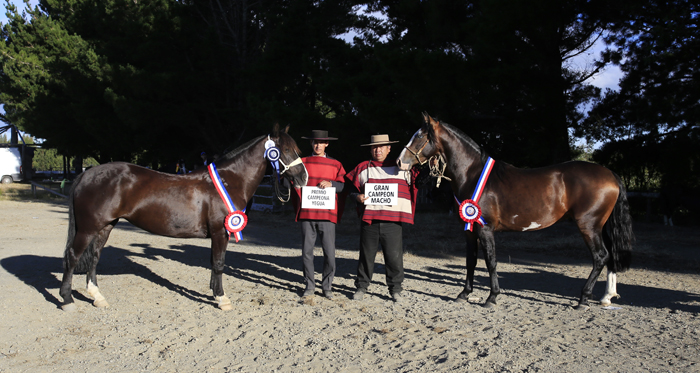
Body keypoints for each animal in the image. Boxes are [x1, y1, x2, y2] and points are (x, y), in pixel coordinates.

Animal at [61, 124, 308, 310]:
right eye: (286, 149)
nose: (303, 178)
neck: (229, 180)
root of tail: (86, 174)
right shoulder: (221, 231)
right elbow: (219, 263)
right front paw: (222, 299)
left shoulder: (218, 234)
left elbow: (213, 262)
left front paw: (214, 293)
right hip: (88, 228)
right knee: (73, 256)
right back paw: (66, 299)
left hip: (105, 226)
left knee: (94, 257)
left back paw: (97, 297)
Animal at [400, 113, 636, 308]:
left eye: (420, 136)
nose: (400, 161)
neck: (472, 174)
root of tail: (611, 174)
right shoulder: (470, 230)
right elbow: (471, 261)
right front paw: (464, 293)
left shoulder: (485, 229)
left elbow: (491, 262)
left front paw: (492, 297)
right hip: (600, 227)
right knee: (609, 257)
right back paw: (605, 297)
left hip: (588, 226)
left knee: (600, 257)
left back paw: (583, 299)